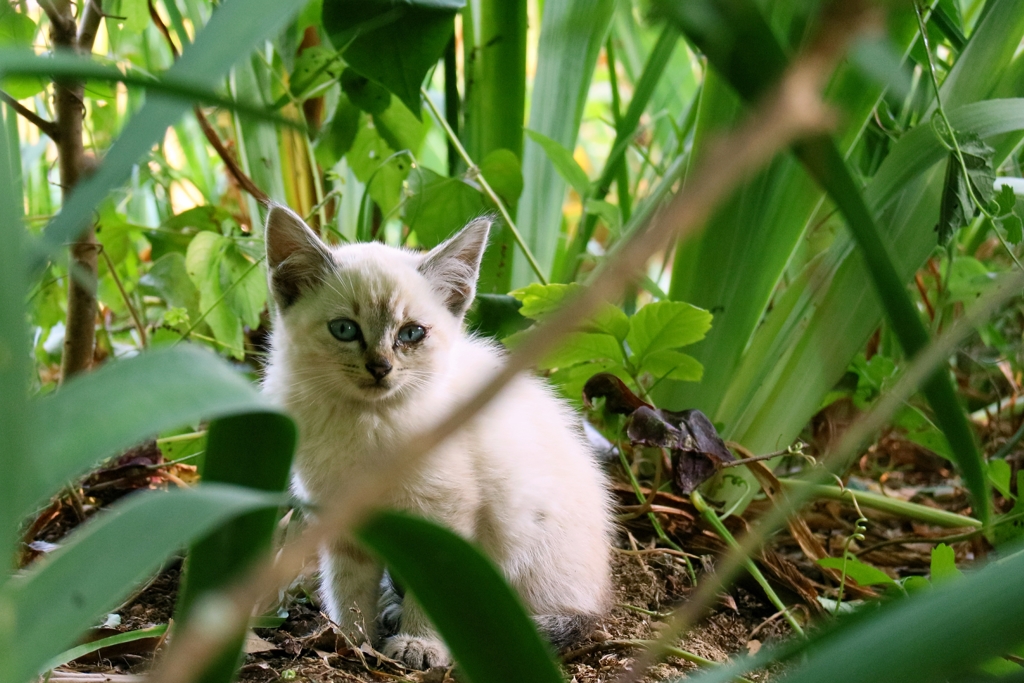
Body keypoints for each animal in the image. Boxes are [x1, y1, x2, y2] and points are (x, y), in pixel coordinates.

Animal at [260, 205, 610, 671]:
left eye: (411, 334)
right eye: (344, 330)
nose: (380, 368)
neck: (368, 423)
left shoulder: (442, 515)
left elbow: (436, 586)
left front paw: (418, 645)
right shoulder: (338, 512)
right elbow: (346, 582)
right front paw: (351, 638)